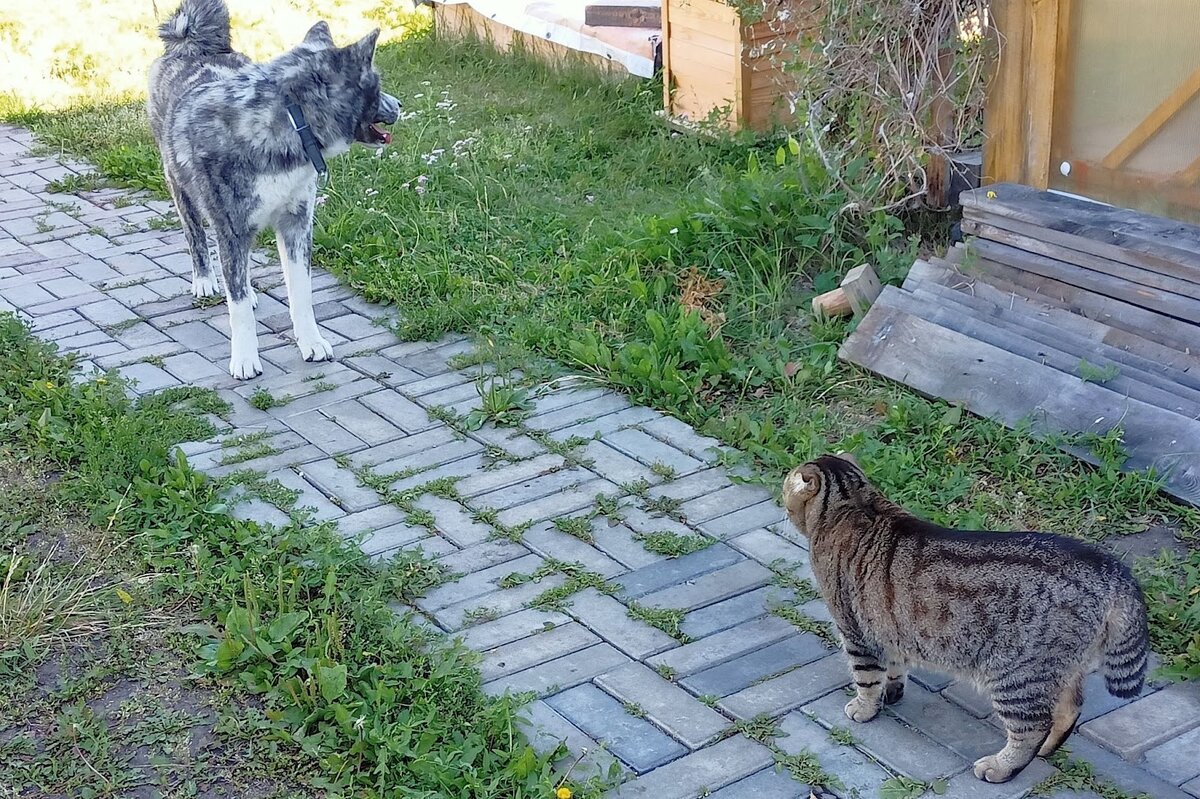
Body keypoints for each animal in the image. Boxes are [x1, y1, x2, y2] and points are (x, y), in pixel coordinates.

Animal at [147, 0, 400, 379]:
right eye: (377, 84)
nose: (399, 106)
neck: (290, 119)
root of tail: (193, 46)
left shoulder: (296, 224)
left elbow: (301, 293)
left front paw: (311, 343)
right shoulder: (232, 230)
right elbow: (237, 308)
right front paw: (245, 359)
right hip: (180, 188)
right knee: (196, 237)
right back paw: (205, 280)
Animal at [782, 451, 1147, 782]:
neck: (853, 503)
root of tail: (1110, 567)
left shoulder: (856, 632)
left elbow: (867, 679)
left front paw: (864, 707)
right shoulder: (889, 627)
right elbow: (895, 666)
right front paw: (893, 691)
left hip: (1016, 676)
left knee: (1032, 727)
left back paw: (1002, 767)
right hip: (1058, 669)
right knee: (1069, 709)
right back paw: (1046, 749)